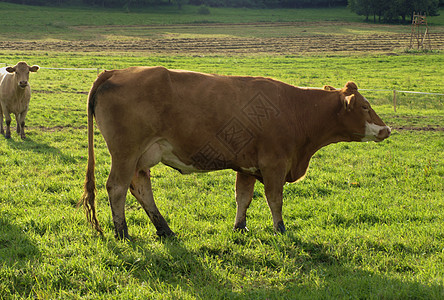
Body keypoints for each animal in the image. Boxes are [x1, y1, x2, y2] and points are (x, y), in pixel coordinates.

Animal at [80, 67, 392, 240]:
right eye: (365, 106)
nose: (386, 129)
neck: (296, 108)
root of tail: (114, 72)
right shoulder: (274, 164)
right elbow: (274, 199)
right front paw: (280, 229)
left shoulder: (247, 166)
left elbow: (244, 197)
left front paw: (240, 228)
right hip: (125, 152)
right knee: (117, 187)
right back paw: (123, 232)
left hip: (140, 157)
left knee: (141, 188)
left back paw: (164, 230)